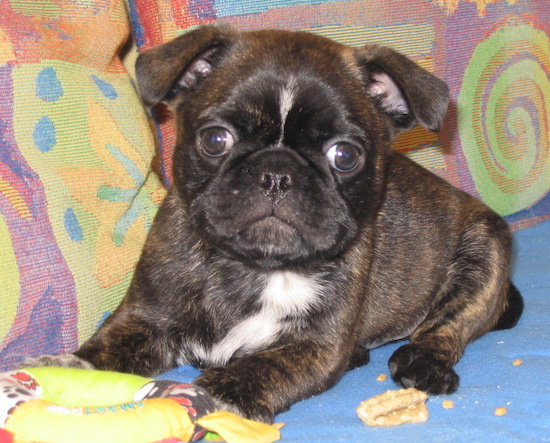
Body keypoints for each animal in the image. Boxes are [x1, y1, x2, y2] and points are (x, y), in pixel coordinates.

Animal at [25, 24, 528, 424]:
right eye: (215, 140)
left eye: (345, 156)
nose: (277, 173)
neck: (254, 267)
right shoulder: (146, 318)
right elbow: (107, 350)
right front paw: (67, 369)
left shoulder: (315, 347)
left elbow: (264, 367)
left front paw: (214, 393)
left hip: (484, 248)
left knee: (450, 324)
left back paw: (424, 361)